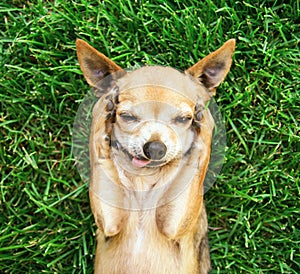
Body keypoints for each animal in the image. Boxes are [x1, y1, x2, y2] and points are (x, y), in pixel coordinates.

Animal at [76, 39, 236, 274]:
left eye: (183, 119)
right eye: (127, 116)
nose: (155, 148)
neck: (145, 179)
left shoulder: (174, 224)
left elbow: (199, 154)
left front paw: (204, 116)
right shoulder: (109, 222)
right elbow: (97, 140)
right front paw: (105, 105)